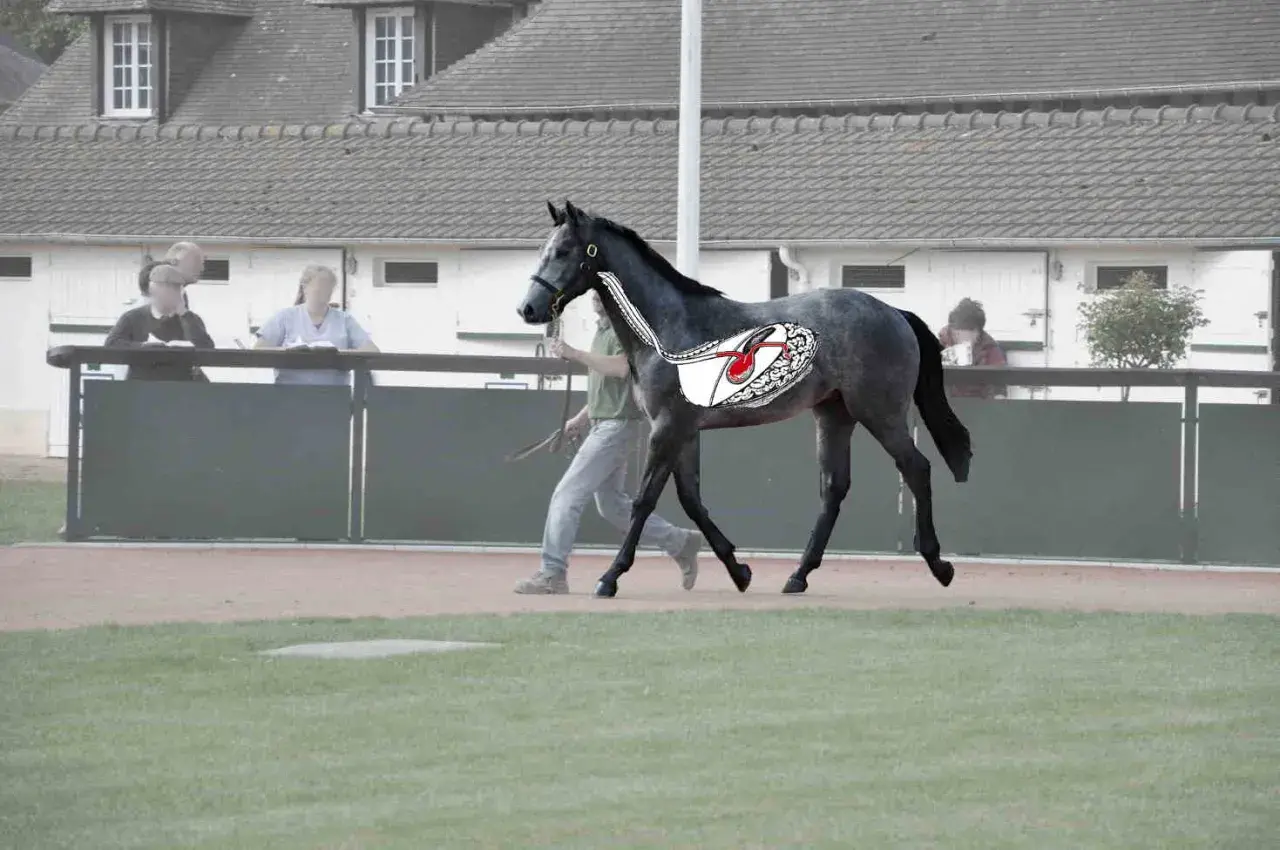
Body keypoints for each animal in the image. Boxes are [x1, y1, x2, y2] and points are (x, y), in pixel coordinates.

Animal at [517, 200, 972, 599]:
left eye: (563, 251)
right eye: (544, 250)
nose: (528, 308)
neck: (667, 330)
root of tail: (895, 313)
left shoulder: (668, 428)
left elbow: (645, 500)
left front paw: (610, 578)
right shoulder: (683, 430)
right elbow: (691, 499)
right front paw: (739, 571)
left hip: (880, 413)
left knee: (917, 469)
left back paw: (939, 565)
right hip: (834, 415)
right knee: (835, 487)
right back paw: (798, 576)